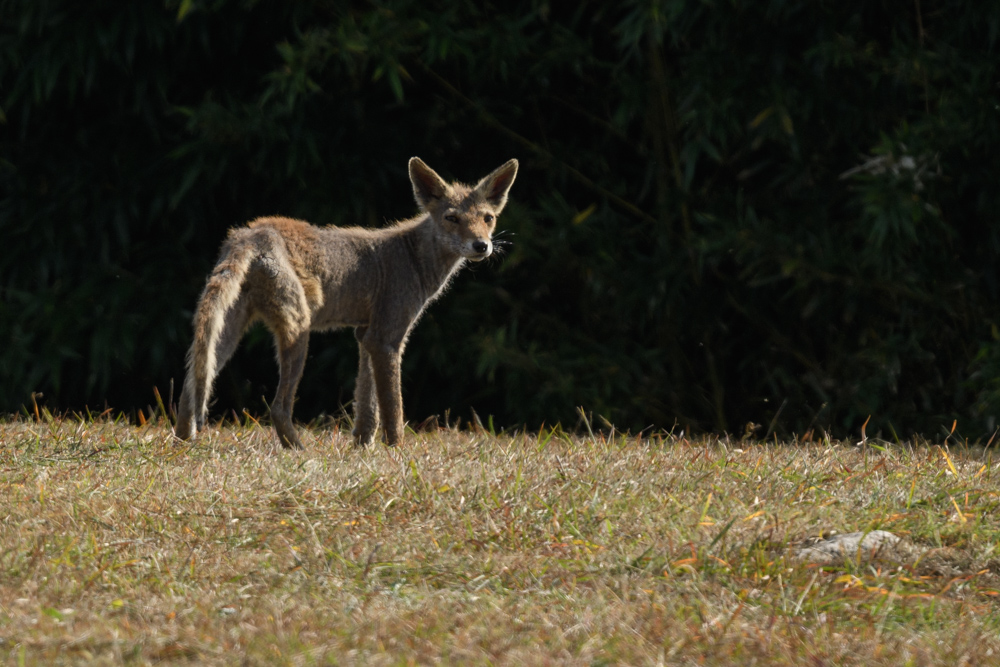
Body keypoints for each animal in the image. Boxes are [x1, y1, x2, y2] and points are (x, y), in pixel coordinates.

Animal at [175, 157, 520, 448]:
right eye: (452, 218)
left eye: (488, 218)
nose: (481, 245)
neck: (413, 258)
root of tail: (249, 234)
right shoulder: (386, 338)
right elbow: (392, 409)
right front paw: (397, 453)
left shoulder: (365, 335)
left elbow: (367, 407)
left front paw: (362, 449)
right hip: (299, 331)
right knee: (277, 408)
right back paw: (300, 452)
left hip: (226, 335)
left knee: (187, 393)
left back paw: (183, 447)